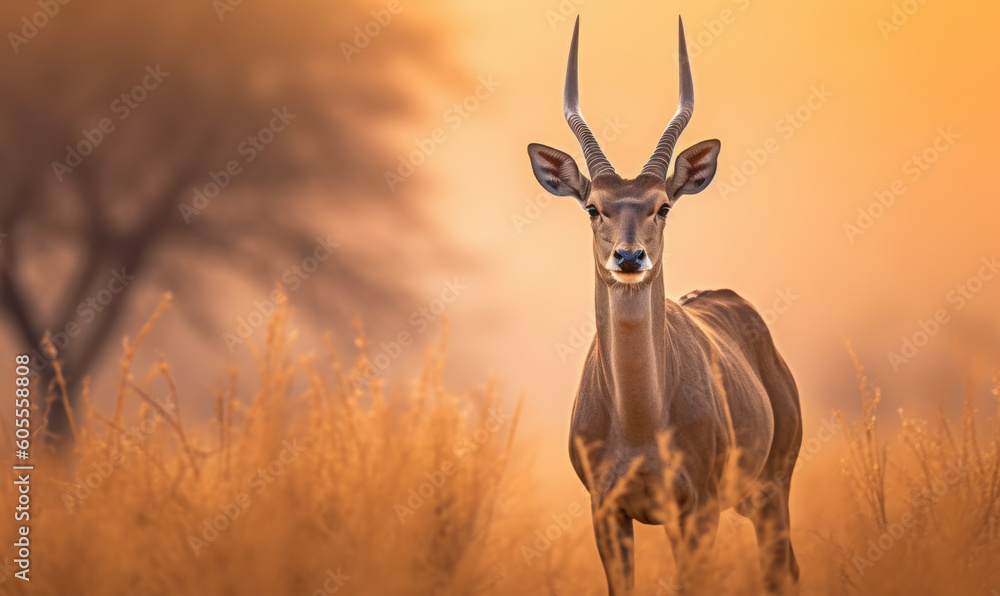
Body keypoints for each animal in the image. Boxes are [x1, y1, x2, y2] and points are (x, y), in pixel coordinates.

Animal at [526, 16, 803, 594]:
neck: (638, 426)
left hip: (774, 486)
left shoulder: (696, 510)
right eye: (593, 207)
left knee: (782, 570)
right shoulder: (606, 511)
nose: (629, 256)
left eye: (664, 206)